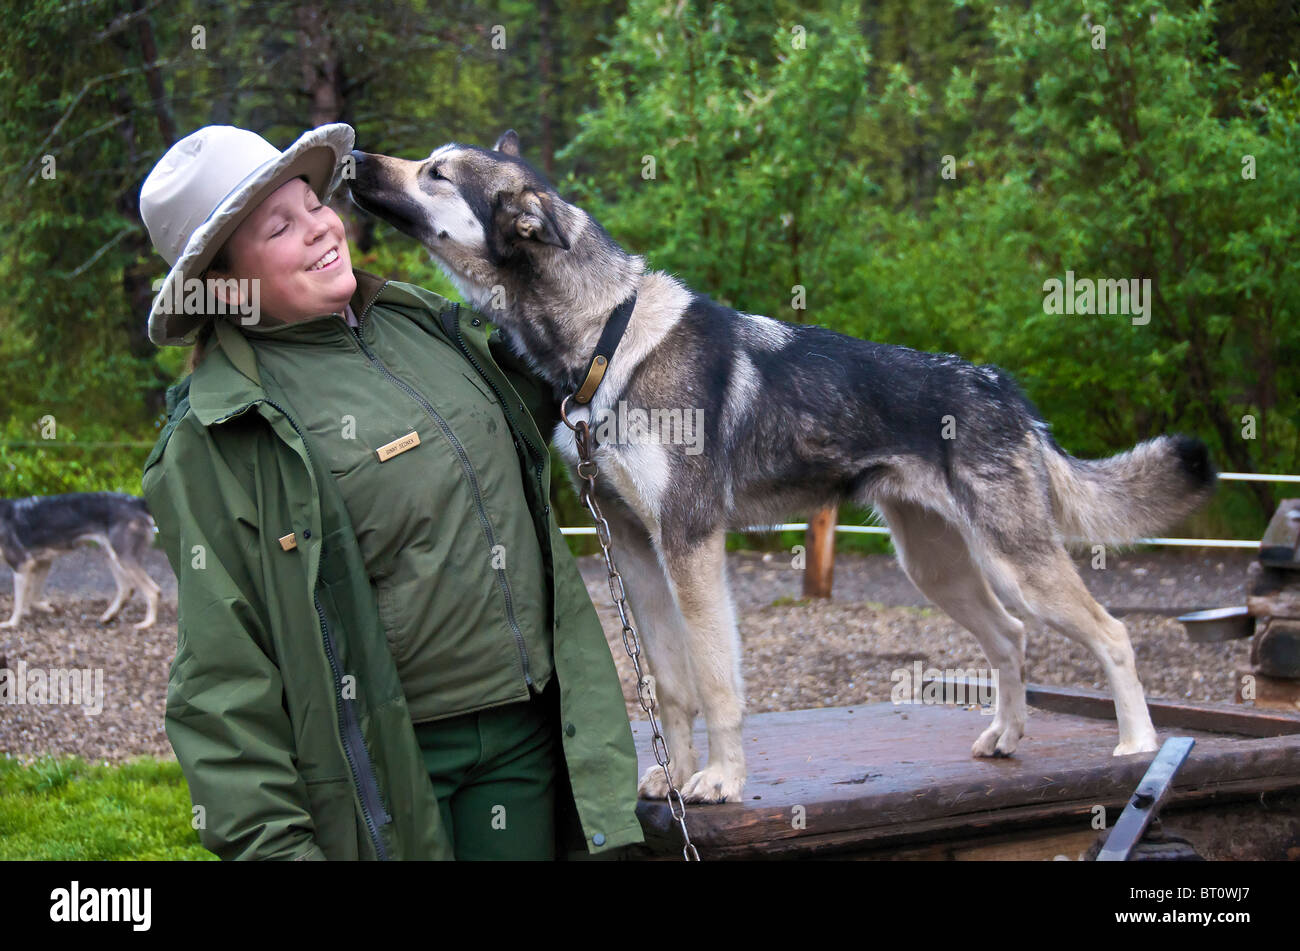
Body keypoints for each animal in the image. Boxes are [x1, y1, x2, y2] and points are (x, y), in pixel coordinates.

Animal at [0, 491, 159, 631]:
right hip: (111, 555)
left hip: (122, 557)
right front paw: (44, 608)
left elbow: (19, 601)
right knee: (127, 588)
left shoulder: (21, 565)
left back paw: (147, 623)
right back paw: (108, 616)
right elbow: (32, 596)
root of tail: (138, 502)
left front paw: (12, 623)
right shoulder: (43, 562)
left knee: (153, 591)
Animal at [348, 129, 1216, 800]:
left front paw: (723, 783)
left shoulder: (692, 546)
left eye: (435, 172)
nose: (353, 153)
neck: (604, 337)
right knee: (1009, 638)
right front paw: (674, 779)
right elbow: (670, 687)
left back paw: (1138, 746)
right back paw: (1006, 736)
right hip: (938, 568)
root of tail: (1004, 386)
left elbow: (717, 682)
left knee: (1110, 632)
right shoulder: (634, 549)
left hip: (1017, 563)